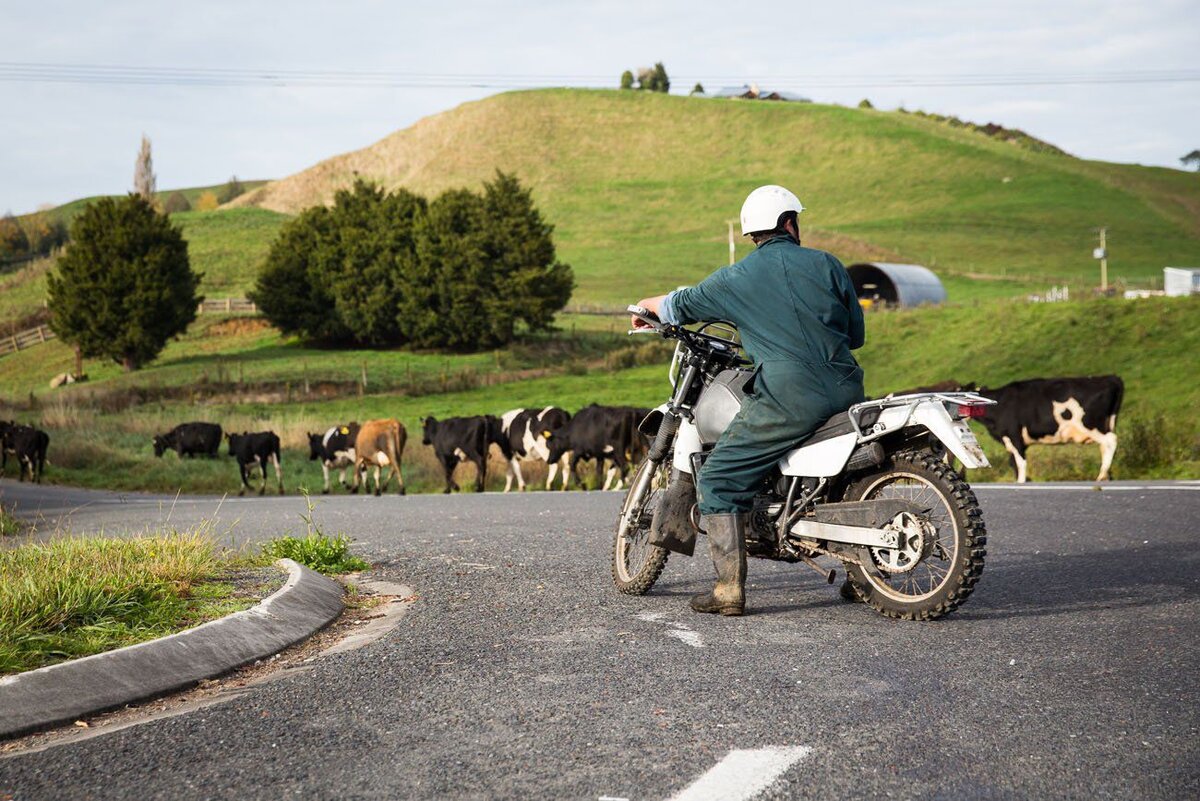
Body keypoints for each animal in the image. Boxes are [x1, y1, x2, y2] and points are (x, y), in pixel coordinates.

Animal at [969, 376, 1118, 482]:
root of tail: (1111, 378)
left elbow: (1020, 462)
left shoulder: (1014, 435)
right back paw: (1107, 475)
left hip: (1090, 425)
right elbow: (1013, 462)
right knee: (1104, 446)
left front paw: (1022, 481)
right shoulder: (1012, 440)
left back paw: (1101, 475)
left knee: (1110, 441)